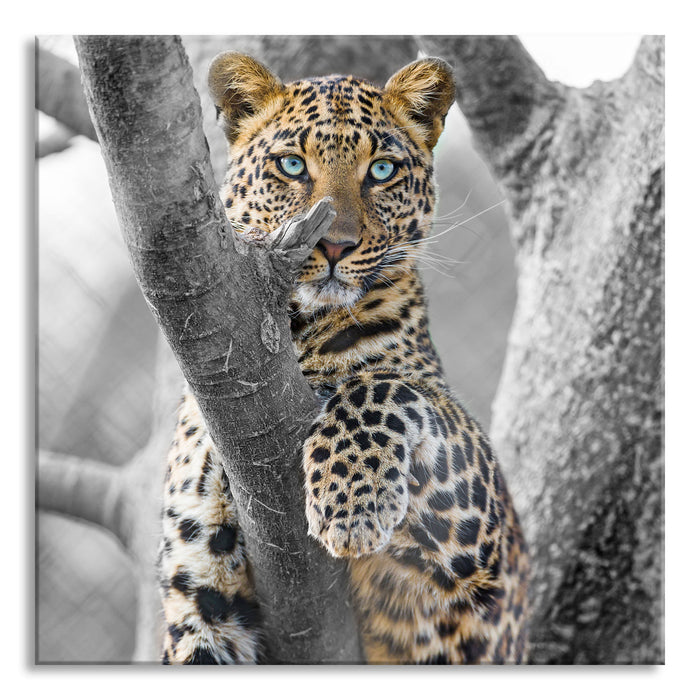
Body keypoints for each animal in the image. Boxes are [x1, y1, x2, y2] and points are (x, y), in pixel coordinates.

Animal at [158, 51, 529, 664]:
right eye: (291, 165)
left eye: (381, 171)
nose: (333, 245)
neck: (296, 334)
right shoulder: (201, 598)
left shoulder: (479, 555)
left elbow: (383, 386)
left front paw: (352, 506)